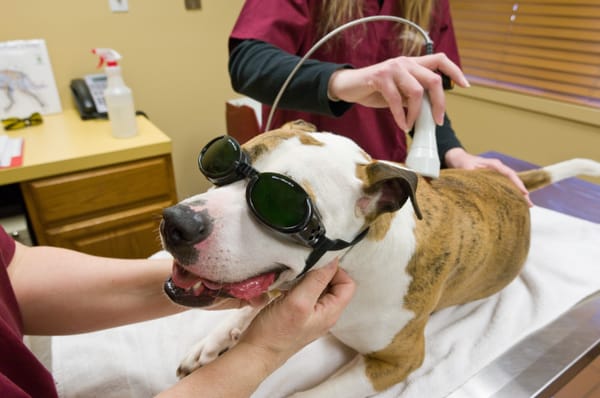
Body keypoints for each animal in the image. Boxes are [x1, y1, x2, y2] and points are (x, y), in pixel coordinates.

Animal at [159, 121, 600, 398]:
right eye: (223, 162)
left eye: (280, 203)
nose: (177, 222)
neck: (359, 259)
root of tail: (506, 180)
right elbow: (250, 308)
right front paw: (213, 342)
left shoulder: (398, 361)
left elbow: (310, 394)